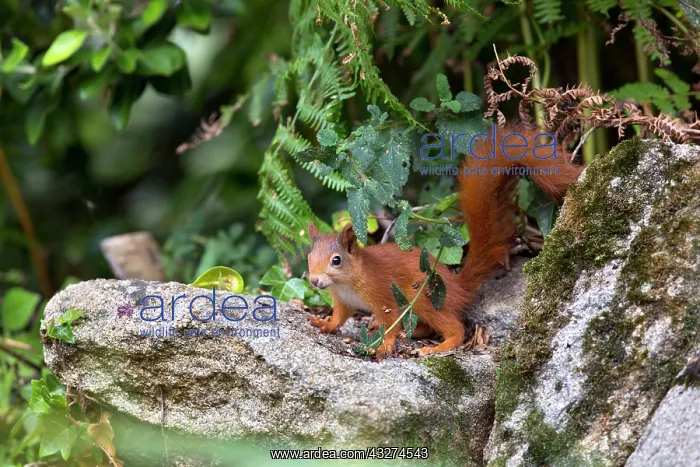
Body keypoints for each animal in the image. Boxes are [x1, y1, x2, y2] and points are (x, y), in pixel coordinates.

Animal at [306, 122, 584, 356]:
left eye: (336, 260)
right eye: (309, 257)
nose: (314, 281)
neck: (347, 282)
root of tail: (459, 287)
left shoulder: (382, 294)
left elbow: (390, 323)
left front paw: (384, 345)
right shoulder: (343, 301)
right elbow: (340, 317)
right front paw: (324, 323)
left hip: (425, 298)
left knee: (453, 327)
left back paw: (438, 346)